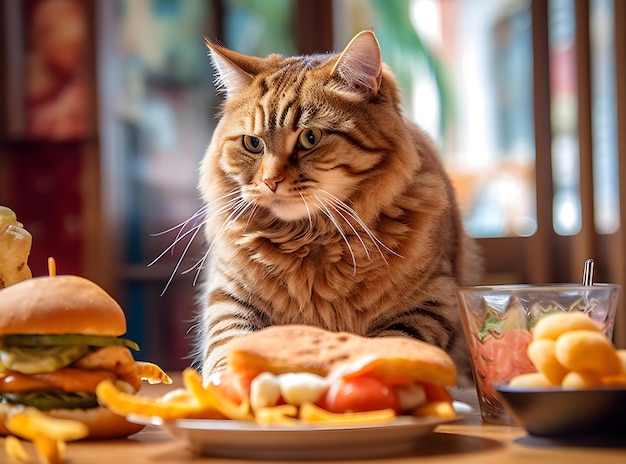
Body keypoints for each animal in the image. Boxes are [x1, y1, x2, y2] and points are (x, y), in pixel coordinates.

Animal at [193, 28, 480, 384]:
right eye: (253, 143)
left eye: (310, 138)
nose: (270, 182)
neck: (312, 238)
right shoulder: (227, 295)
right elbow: (229, 341)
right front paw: (227, 385)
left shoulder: (435, 300)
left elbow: (397, 342)